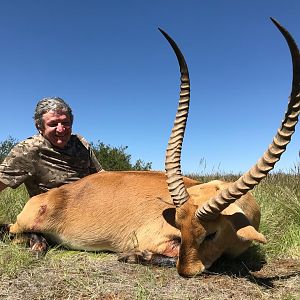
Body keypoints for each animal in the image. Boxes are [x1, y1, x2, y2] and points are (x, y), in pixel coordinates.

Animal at [1, 18, 298, 276]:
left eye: (211, 233)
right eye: (180, 226)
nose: (187, 271)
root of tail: (43, 198)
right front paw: (133, 255)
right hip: (22, 224)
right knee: (16, 232)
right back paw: (37, 244)